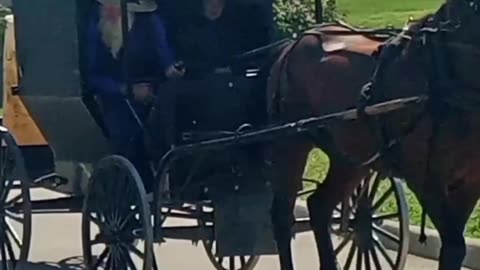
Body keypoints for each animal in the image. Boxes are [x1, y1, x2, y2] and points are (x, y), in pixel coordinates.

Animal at [268, 0, 480, 270]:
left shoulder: (470, 182)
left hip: (351, 158)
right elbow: (454, 246)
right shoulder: (424, 178)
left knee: (319, 206)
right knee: (282, 217)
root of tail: (294, 43)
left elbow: (454, 249)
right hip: (291, 144)